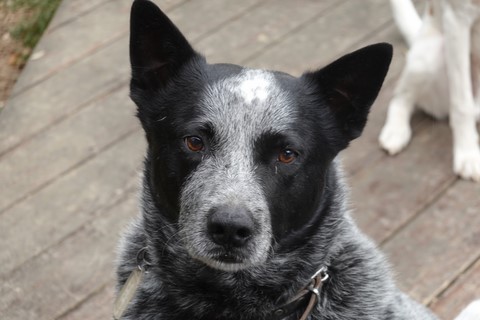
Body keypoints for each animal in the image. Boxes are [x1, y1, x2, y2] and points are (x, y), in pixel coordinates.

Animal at [378, 0, 480, 181]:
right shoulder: (457, 20)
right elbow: (462, 105)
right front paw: (468, 155)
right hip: (429, 58)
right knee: (401, 98)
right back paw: (396, 131)